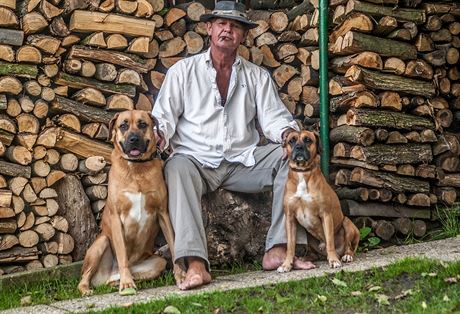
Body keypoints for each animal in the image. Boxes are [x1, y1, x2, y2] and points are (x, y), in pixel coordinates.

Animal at [78, 111, 184, 296]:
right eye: (123, 125)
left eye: (142, 124)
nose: (133, 139)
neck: (136, 168)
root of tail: (108, 274)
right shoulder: (116, 218)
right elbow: (122, 256)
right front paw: (127, 283)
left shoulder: (163, 213)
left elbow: (173, 244)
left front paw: (181, 274)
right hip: (102, 242)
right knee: (84, 277)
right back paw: (89, 289)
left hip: (157, 262)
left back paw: (117, 282)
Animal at [274, 130, 362, 272]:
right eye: (291, 141)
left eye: (308, 140)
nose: (299, 147)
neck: (302, 172)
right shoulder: (290, 219)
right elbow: (290, 246)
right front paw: (286, 264)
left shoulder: (326, 215)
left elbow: (330, 241)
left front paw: (333, 261)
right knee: (313, 253)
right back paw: (306, 259)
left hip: (347, 223)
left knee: (349, 247)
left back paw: (346, 256)